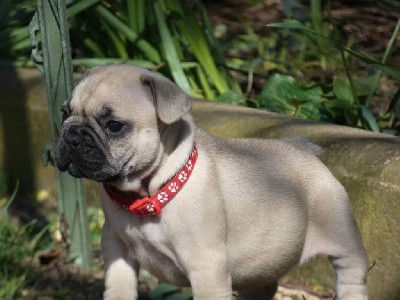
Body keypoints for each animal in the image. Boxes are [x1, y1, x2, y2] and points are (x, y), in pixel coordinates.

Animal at [55, 65, 368, 300]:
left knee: (352, 273)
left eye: (114, 126)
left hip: (340, 234)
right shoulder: (116, 248)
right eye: (64, 113)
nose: (72, 135)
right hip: (260, 268)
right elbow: (119, 287)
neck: (149, 193)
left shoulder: (206, 267)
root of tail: (302, 148)